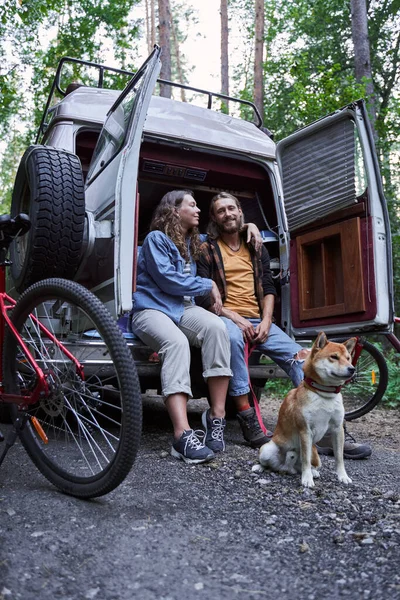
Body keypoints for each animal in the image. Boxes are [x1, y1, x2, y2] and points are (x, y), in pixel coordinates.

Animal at [253, 332, 356, 488]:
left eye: (348, 358)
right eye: (334, 357)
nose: (352, 368)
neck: (324, 394)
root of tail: (286, 468)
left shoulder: (338, 429)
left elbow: (339, 457)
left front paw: (343, 476)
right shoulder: (305, 430)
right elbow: (305, 460)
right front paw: (307, 479)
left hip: (316, 455)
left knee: (307, 465)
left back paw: (313, 472)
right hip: (266, 449)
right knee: (268, 464)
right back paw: (260, 467)